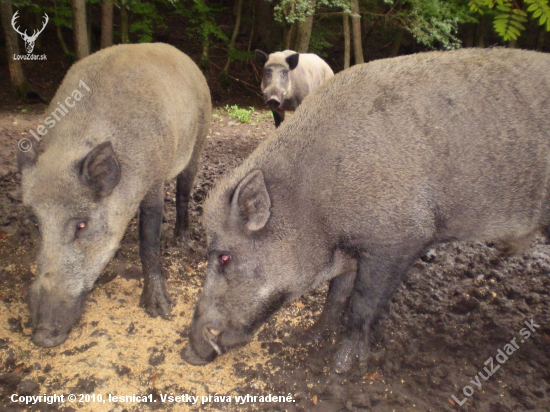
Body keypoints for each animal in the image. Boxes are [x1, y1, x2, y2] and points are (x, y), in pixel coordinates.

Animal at [17, 43, 211, 348]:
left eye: (81, 225)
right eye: (37, 223)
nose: (42, 336)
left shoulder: (154, 178)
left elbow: (148, 242)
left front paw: (159, 310)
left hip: (199, 138)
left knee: (183, 190)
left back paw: (181, 242)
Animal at [184, 48, 550, 374]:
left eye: (224, 257)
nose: (190, 352)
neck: (315, 204)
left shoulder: (399, 239)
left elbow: (363, 303)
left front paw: (342, 369)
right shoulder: (351, 252)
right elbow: (335, 297)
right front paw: (305, 339)